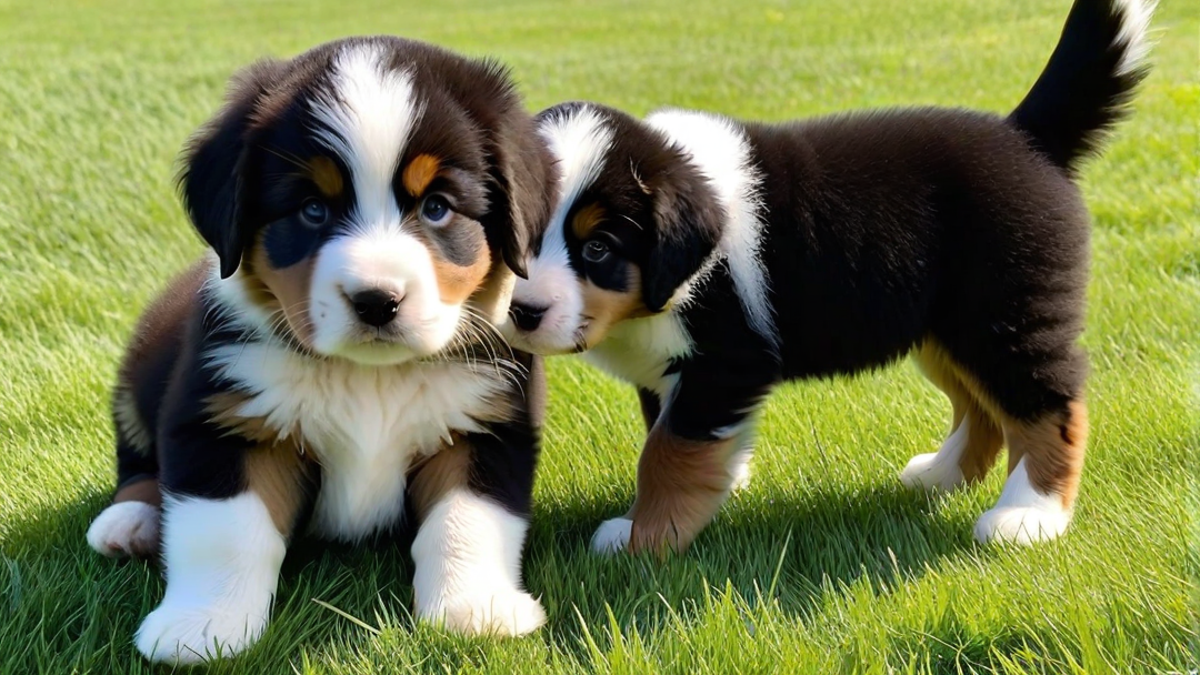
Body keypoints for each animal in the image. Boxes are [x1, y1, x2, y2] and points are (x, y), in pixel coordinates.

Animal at [84, 36, 552, 662]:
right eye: (312, 209)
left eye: (437, 207)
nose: (377, 301)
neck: (370, 377)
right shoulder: (224, 420)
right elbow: (224, 534)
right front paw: (203, 626)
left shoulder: (487, 423)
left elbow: (467, 522)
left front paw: (476, 609)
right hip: (138, 377)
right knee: (136, 462)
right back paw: (129, 521)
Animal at [499, 0, 1152, 554]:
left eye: (598, 249)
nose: (521, 312)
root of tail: (1025, 135)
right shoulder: (671, 370)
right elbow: (676, 434)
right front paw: (722, 482)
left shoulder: (725, 361)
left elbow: (668, 450)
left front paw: (641, 538)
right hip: (946, 327)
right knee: (984, 408)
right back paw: (938, 476)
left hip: (1005, 314)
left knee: (1048, 405)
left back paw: (1028, 517)